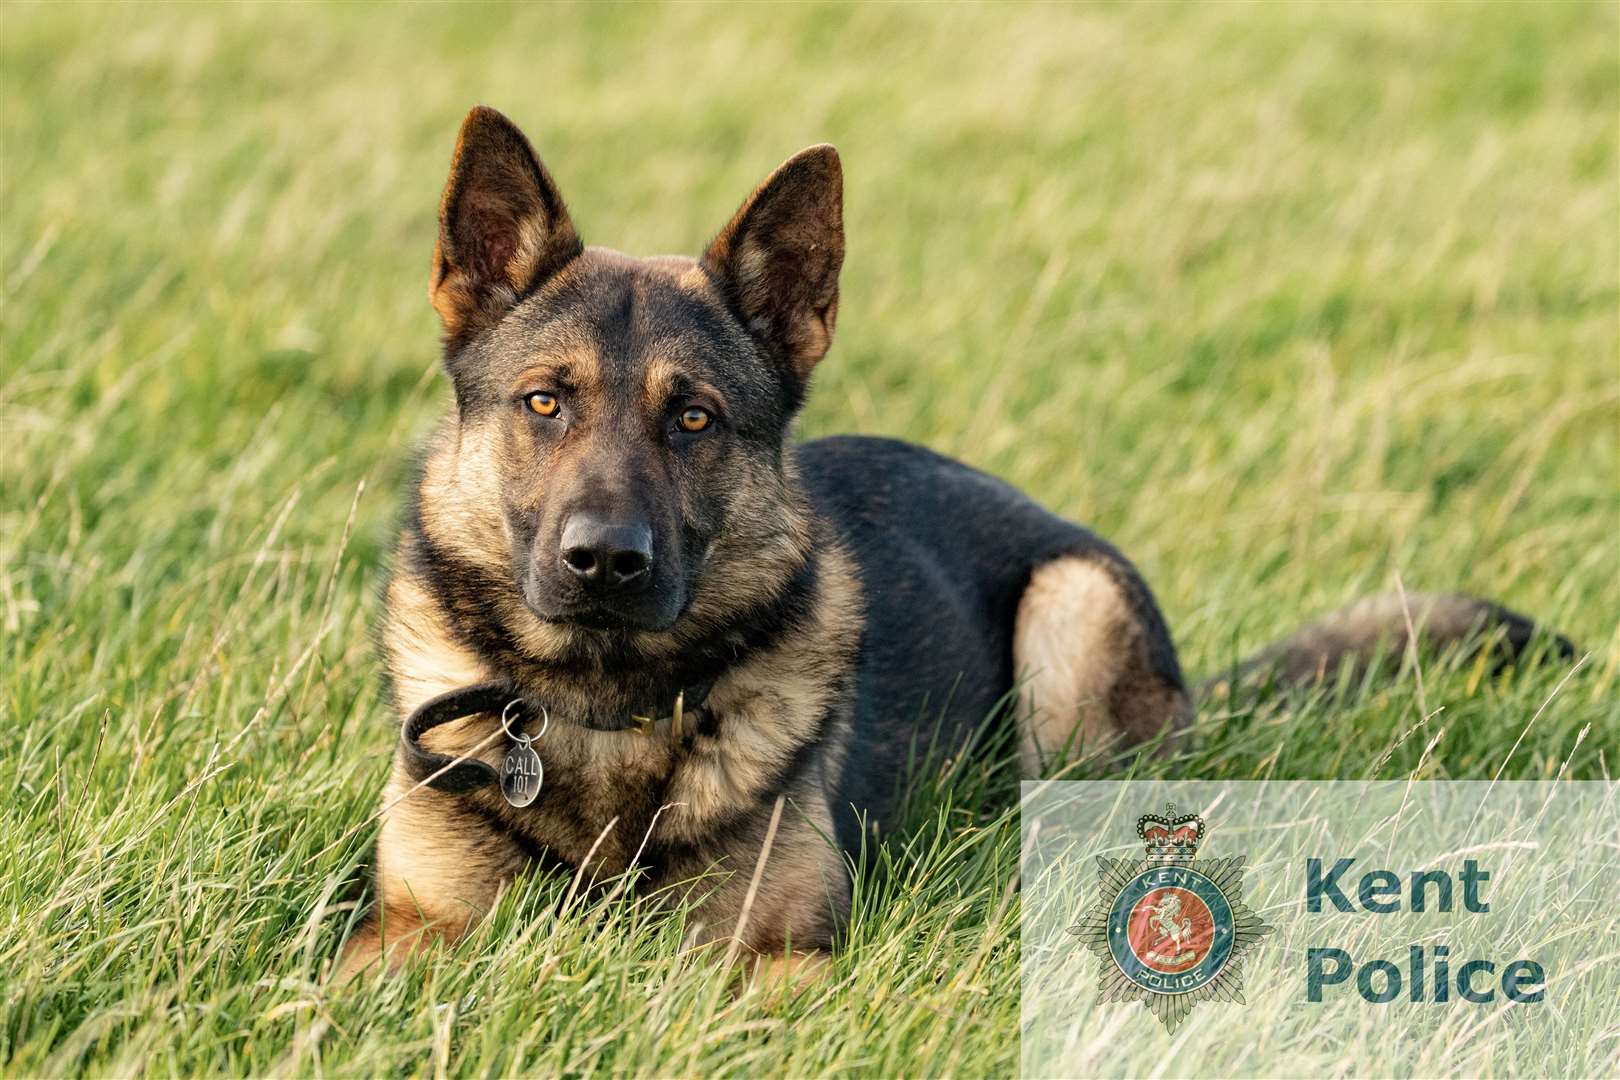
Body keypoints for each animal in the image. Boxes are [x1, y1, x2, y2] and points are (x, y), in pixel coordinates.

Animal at [338, 107, 1568, 977]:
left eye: (693, 420)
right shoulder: (405, 932)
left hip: (1068, 616)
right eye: (545, 403)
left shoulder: (778, 959)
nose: (605, 560)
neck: (602, 708)